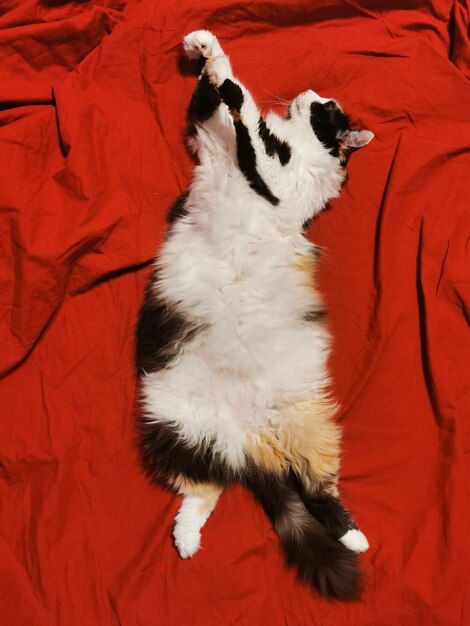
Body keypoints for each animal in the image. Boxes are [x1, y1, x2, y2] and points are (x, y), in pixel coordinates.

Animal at [136, 30, 374, 600]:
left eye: (329, 110)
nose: (311, 94)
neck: (293, 144)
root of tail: (248, 434)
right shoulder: (209, 136)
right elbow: (219, 95)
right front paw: (206, 50)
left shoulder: (269, 173)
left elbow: (248, 129)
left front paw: (233, 89)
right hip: (175, 425)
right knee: (207, 490)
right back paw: (186, 541)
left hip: (304, 426)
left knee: (317, 489)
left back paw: (354, 538)